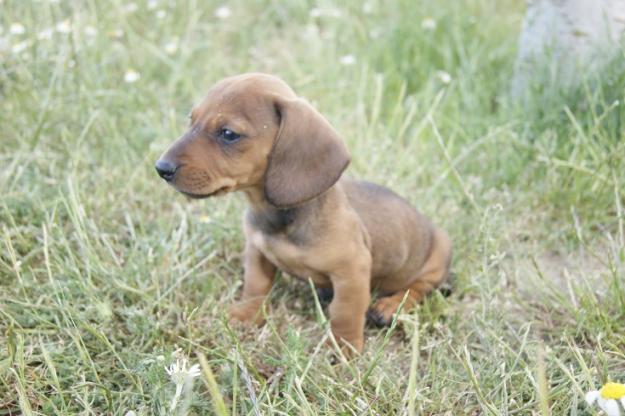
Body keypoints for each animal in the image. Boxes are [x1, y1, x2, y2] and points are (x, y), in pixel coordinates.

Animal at [154, 73, 450, 352]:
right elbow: (255, 286)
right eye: (191, 120)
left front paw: (343, 345)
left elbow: (345, 310)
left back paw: (391, 306)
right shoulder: (257, 251)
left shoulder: (352, 270)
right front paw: (246, 315)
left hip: (437, 256)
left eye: (228, 133)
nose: (161, 168)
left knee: (420, 287)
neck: (276, 216)